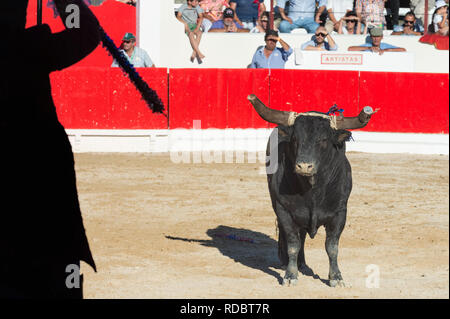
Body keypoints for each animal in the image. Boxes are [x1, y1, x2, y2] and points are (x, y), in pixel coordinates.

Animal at [248, 95, 378, 288]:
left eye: (323, 140)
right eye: (295, 139)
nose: (304, 166)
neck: (313, 192)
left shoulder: (340, 213)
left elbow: (332, 247)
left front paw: (336, 277)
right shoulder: (284, 210)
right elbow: (293, 243)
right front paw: (290, 275)